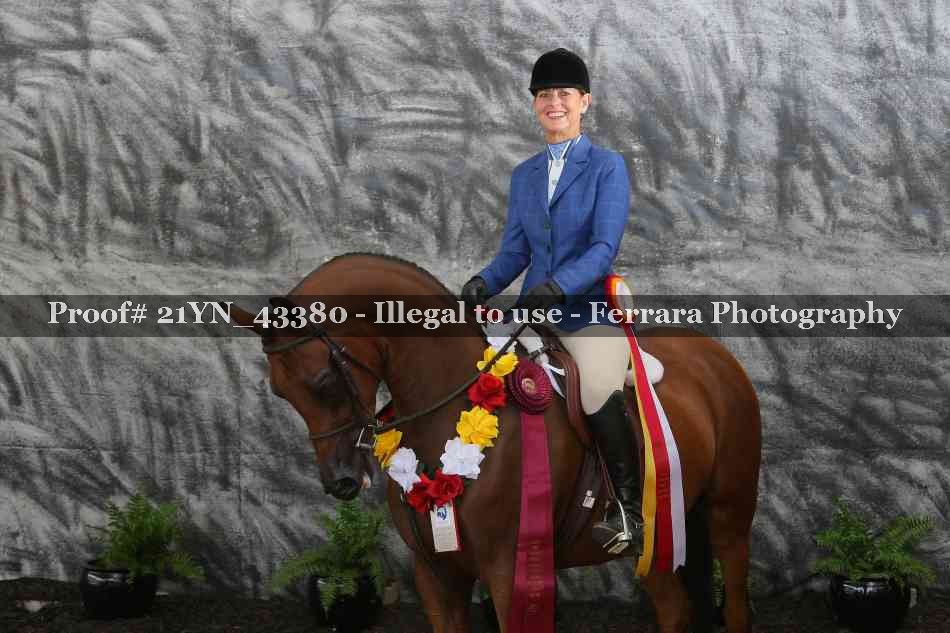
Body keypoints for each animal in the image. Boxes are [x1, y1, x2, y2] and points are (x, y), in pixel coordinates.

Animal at [229, 252, 761, 633]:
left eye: (322, 381)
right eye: (280, 392)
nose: (339, 482)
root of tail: (715, 356)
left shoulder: (511, 571)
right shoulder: (435, 575)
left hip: (728, 516)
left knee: (735, 605)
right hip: (662, 531)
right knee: (675, 609)